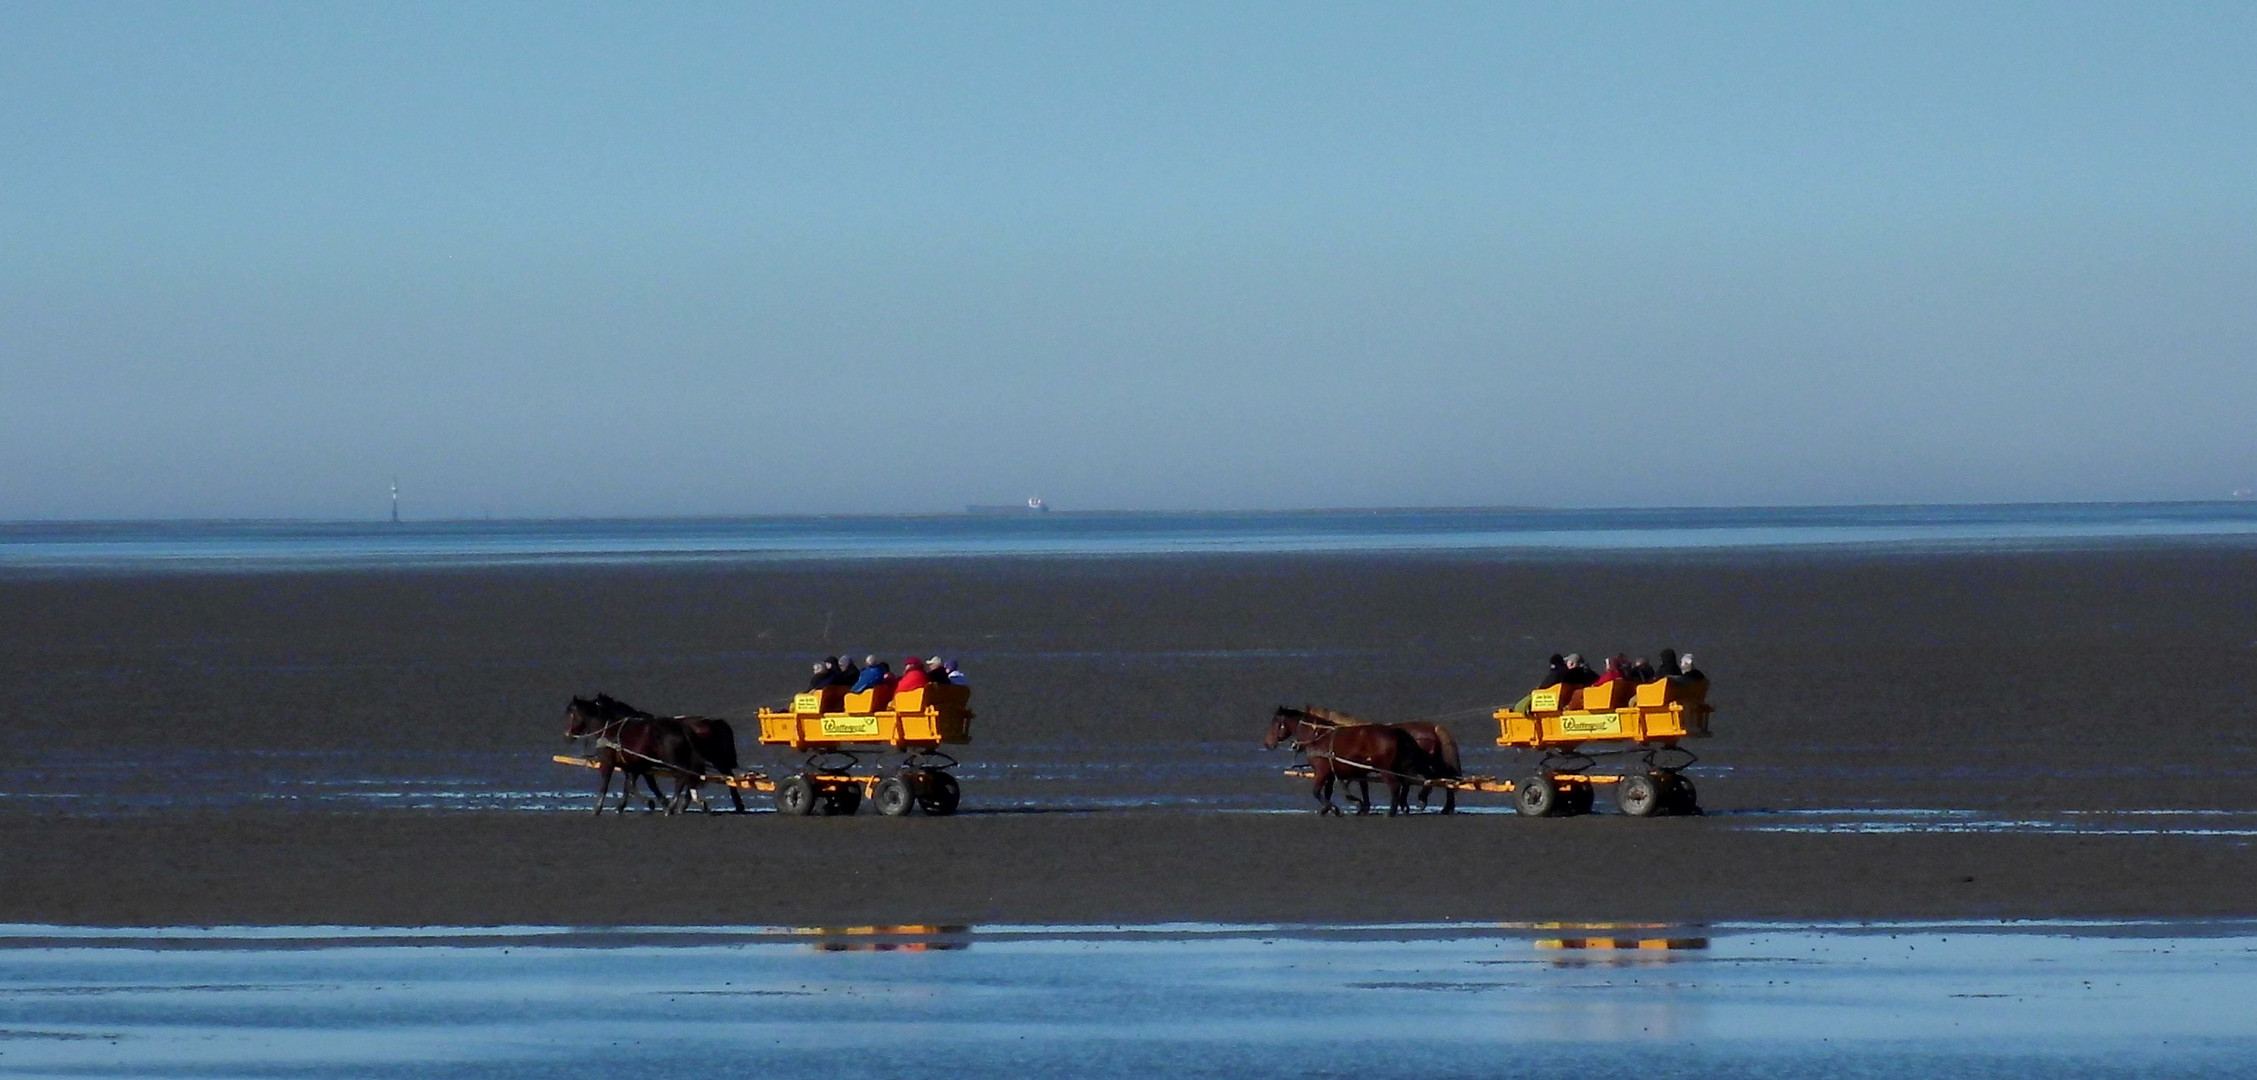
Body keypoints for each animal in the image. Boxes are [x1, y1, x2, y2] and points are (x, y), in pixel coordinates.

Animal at [559, 698, 708, 816]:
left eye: (571, 715)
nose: (566, 736)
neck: (610, 730)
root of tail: (682, 728)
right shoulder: (633, 765)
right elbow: (632, 785)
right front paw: (629, 805)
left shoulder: (608, 762)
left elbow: (606, 785)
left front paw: (597, 808)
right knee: (687, 778)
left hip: (673, 761)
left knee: (681, 779)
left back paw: (673, 807)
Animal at [1263, 707, 1417, 816]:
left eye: (1276, 723)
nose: (1267, 744)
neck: (1317, 736)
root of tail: (1394, 732)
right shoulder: (1331, 774)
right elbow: (1328, 792)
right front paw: (1328, 809)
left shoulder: (1322, 772)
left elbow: (1316, 791)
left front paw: (1333, 808)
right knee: (1404, 784)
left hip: (1385, 770)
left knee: (1395, 786)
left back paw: (1391, 812)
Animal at [1309, 707, 1462, 816]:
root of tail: (1435, 728)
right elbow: (1361, 786)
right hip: (1434, 763)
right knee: (1448, 779)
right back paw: (1446, 807)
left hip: (1422, 765)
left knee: (1433, 779)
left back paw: (1422, 801)